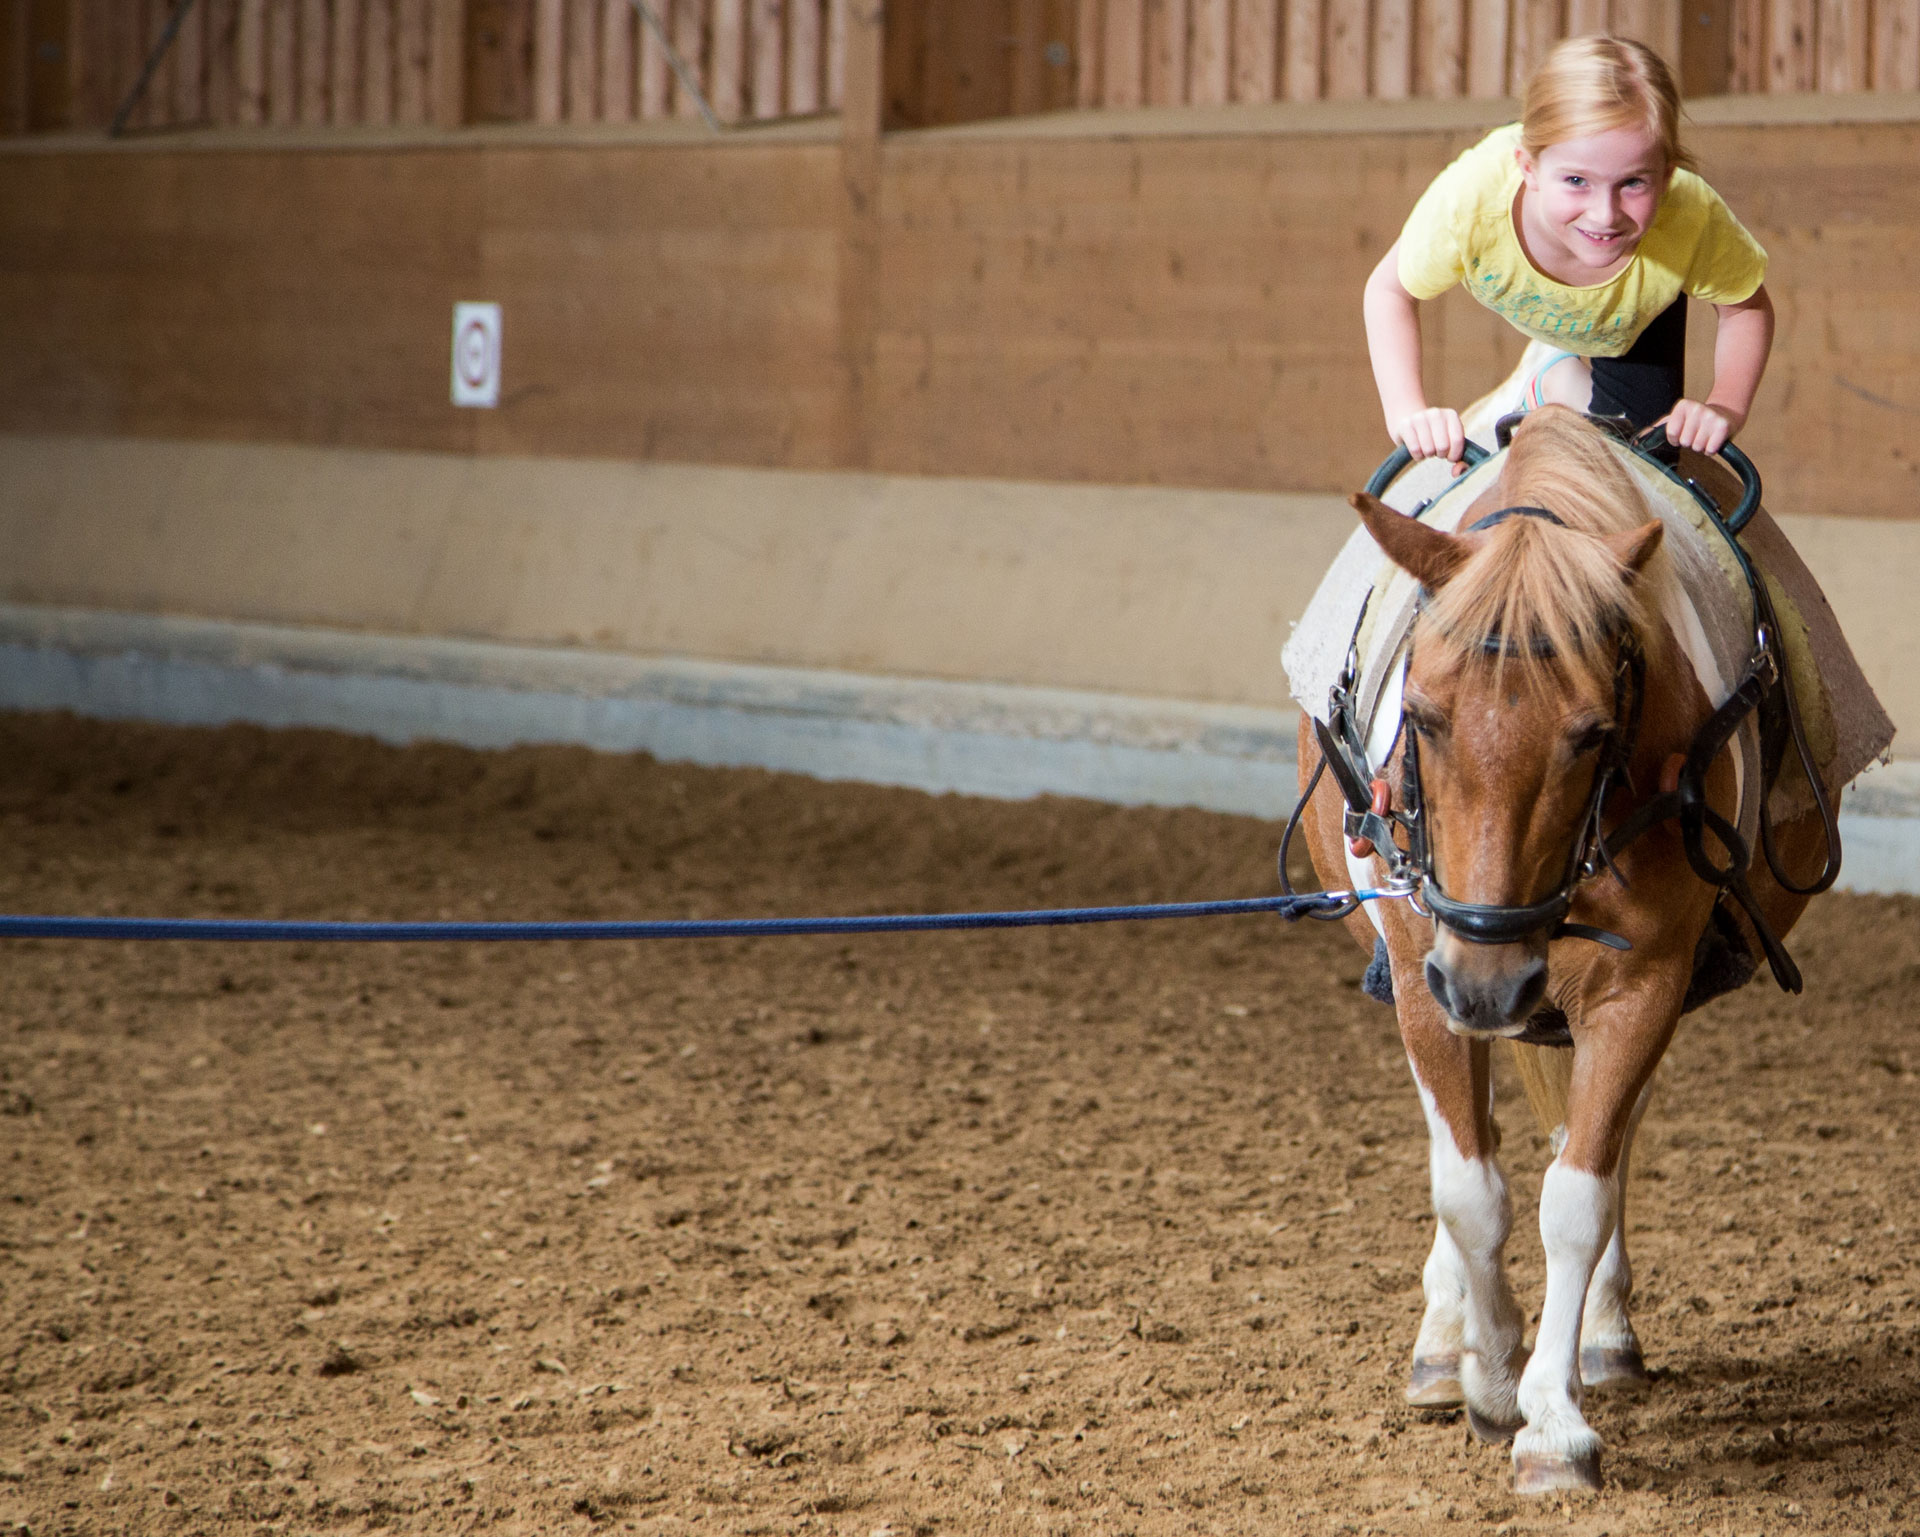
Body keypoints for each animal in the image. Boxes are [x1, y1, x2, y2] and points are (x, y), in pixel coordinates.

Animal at [1297, 404, 1835, 1489]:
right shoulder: (1427, 979)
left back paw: (1601, 1336)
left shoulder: (1643, 984)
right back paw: (1445, 1339)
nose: (1489, 978)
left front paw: (1552, 1416)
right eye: (1422, 716)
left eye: (1591, 734)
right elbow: (1470, 1188)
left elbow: (1578, 1193)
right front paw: (1488, 1374)